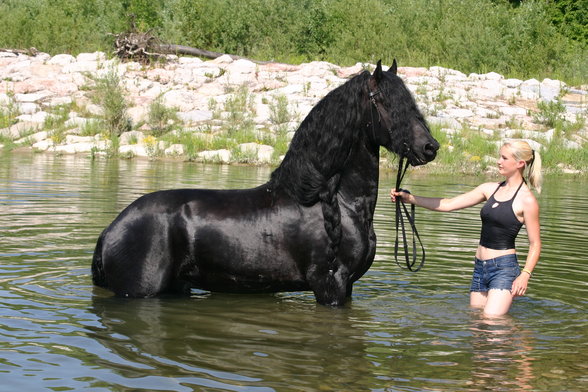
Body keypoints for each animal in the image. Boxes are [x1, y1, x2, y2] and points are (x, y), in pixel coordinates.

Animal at [92, 61, 438, 306]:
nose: (429, 148)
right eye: (388, 105)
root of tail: (110, 230)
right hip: (141, 292)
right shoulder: (330, 285)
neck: (334, 202)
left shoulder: (348, 286)